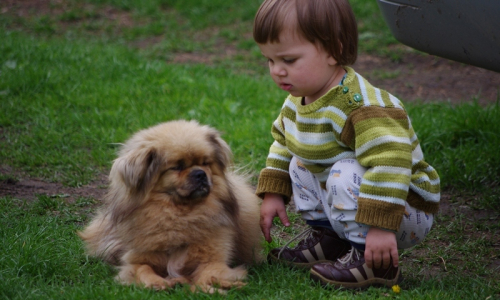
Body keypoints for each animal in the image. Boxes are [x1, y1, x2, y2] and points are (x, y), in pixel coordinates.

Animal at [78, 120, 262, 292]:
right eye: (178, 167)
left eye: (205, 163)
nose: (200, 173)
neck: (179, 215)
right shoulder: (136, 261)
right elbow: (143, 269)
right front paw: (159, 283)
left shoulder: (213, 260)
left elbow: (208, 274)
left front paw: (209, 288)